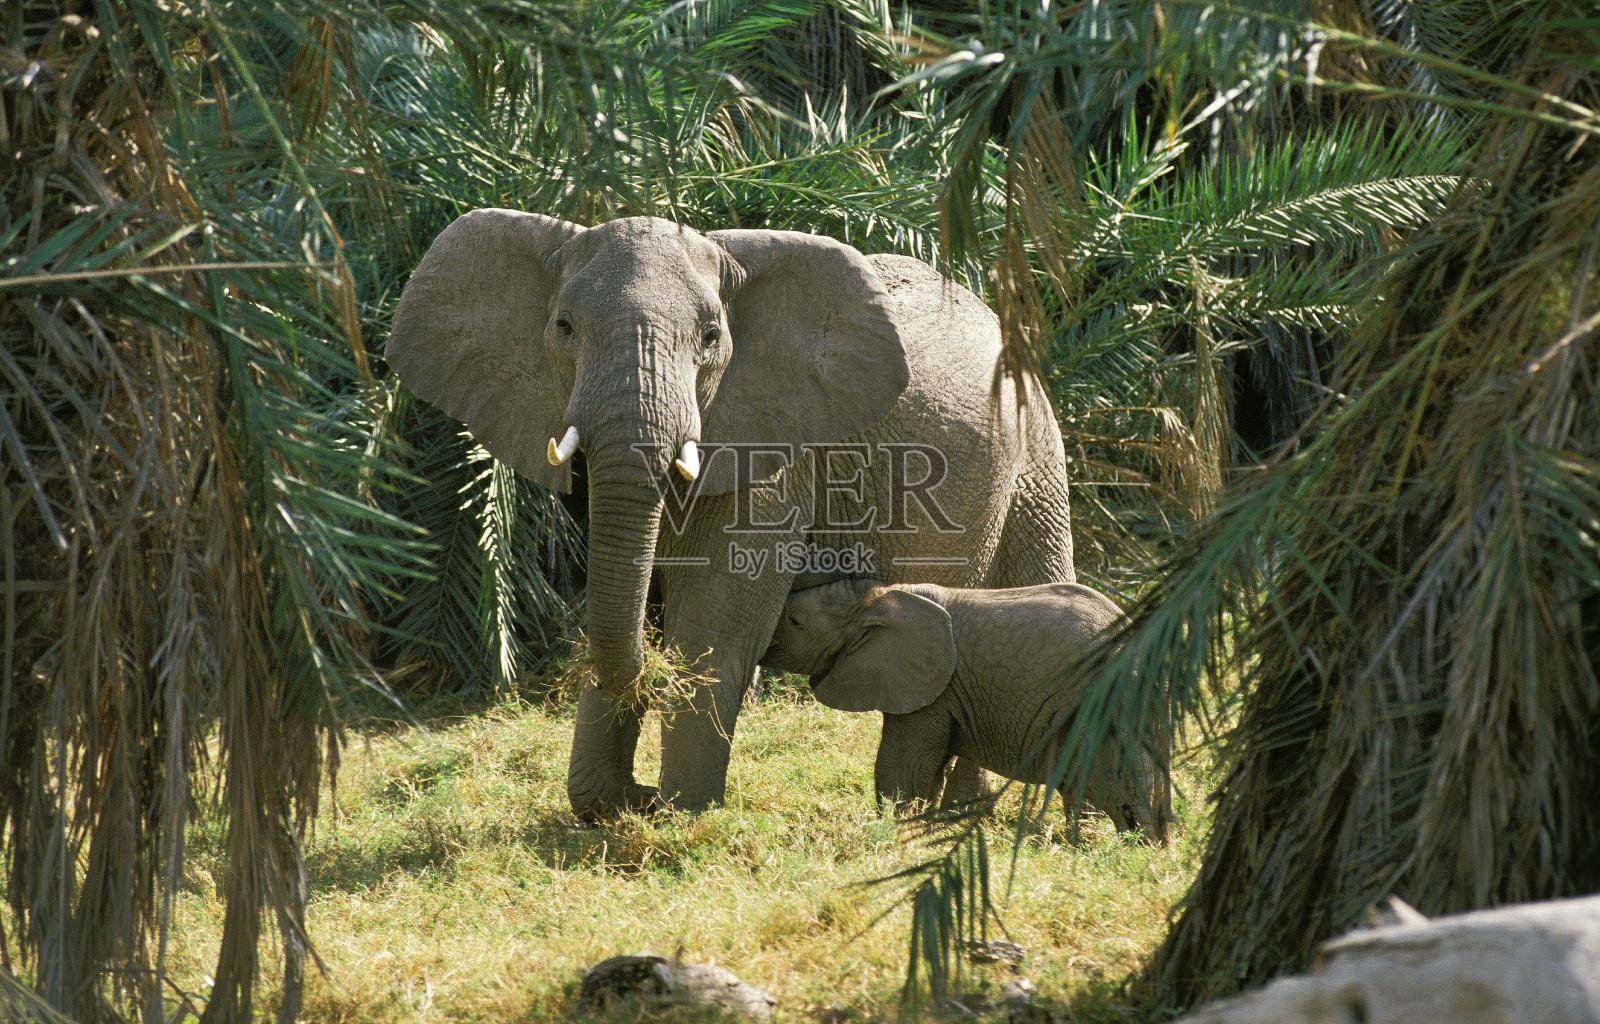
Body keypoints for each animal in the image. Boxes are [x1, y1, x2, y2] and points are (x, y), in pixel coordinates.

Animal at [385, 211, 1077, 819]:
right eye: (562, 327)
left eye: (711, 338)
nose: (640, 794)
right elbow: (628, 594)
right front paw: (615, 807)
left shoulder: (771, 455)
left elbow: (714, 623)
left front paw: (678, 814)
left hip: (1037, 453)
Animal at [761, 578, 1170, 839]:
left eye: (795, 622)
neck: (880, 597)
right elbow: (929, 769)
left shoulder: (934, 687)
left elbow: (903, 767)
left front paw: (891, 834)